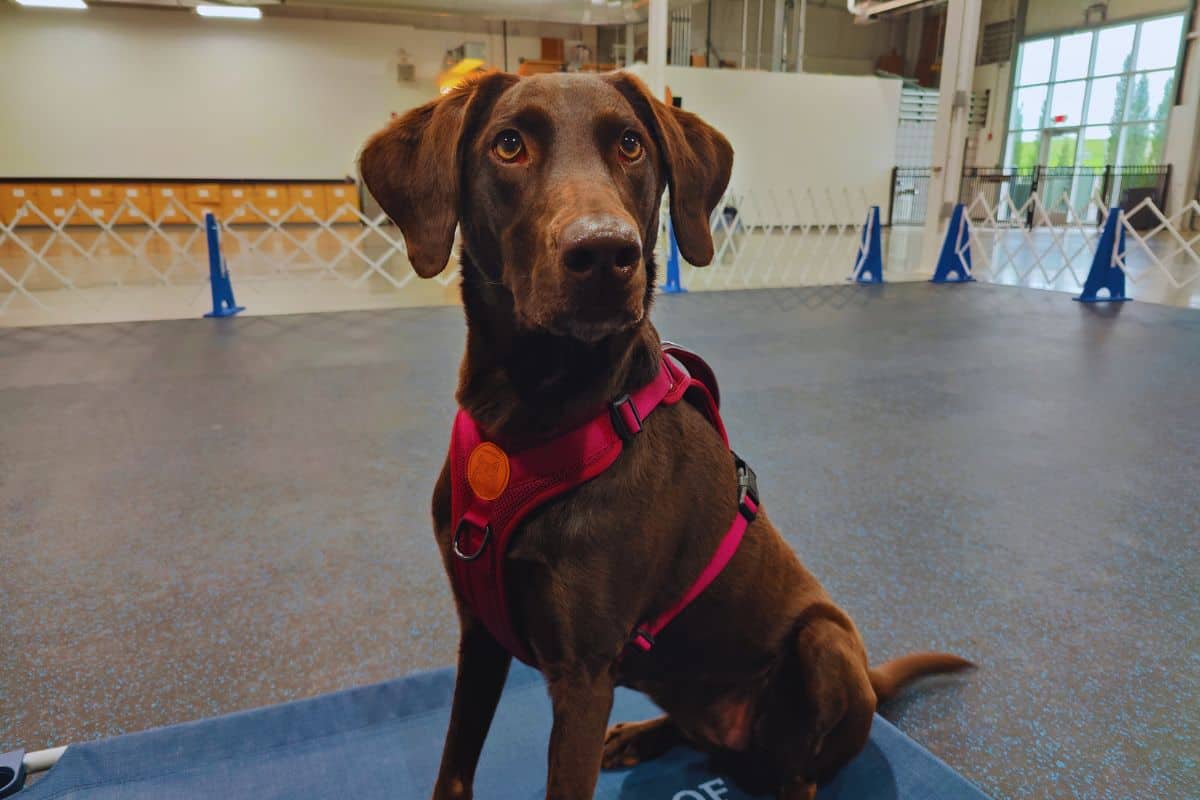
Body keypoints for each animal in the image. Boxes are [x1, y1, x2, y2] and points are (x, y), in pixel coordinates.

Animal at [360, 70, 969, 800]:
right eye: (508, 145)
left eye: (630, 145)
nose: (605, 252)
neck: (528, 418)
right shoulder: (479, 631)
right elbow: (454, 770)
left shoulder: (583, 675)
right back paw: (641, 737)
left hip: (826, 644)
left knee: (797, 772)